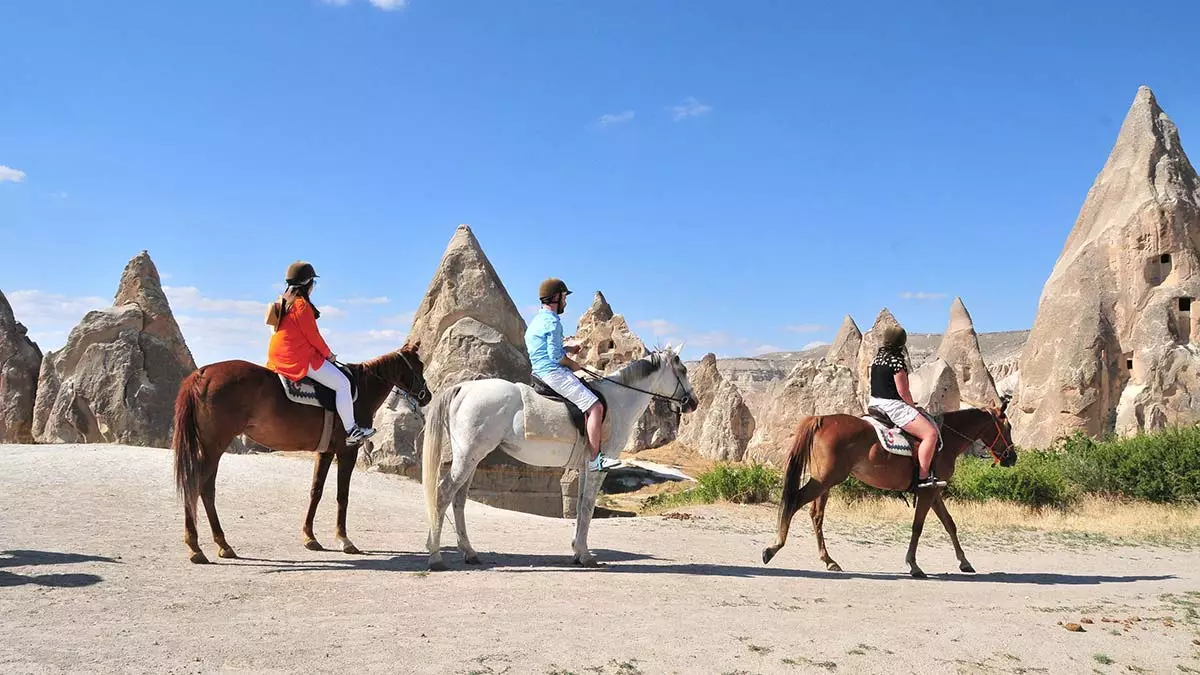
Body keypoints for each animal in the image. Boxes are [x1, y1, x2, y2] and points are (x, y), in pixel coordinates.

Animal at [169, 341, 432, 562]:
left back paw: (218, 544)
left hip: (210, 448)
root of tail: (202, 373)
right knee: (199, 486)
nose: (427, 396)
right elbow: (342, 496)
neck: (361, 389)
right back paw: (199, 546)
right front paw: (344, 539)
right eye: (419, 366)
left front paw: (310, 537)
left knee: (203, 489)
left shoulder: (325, 452)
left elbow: (316, 491)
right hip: (214, 447)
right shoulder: (347, 452)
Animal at [424, 343, 700, 569]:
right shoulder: (597, 468)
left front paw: (577, 552)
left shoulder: (584, 468)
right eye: (683, 370)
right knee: (443, 494)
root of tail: (464, 387)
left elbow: (580, 507)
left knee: (458, 500)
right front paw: (586, 556)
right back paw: (435, 556)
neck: (617, 402)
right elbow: (587, 507)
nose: (693, 403)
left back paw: (468, 552)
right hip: (468, 458)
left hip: (471, 459)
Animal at [758, 398, 1012, 578]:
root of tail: (822, 419)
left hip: (825, 483)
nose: (1013, 457)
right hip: (824, 480)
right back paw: (773, 547)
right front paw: (913, 565)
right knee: (794, 502)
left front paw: (964, 562)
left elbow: (950, 524)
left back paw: (829, 560)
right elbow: (917, 527)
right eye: (1007, 427)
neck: (945, 439)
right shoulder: (928, 492)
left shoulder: (934, 491)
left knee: (816, 515)